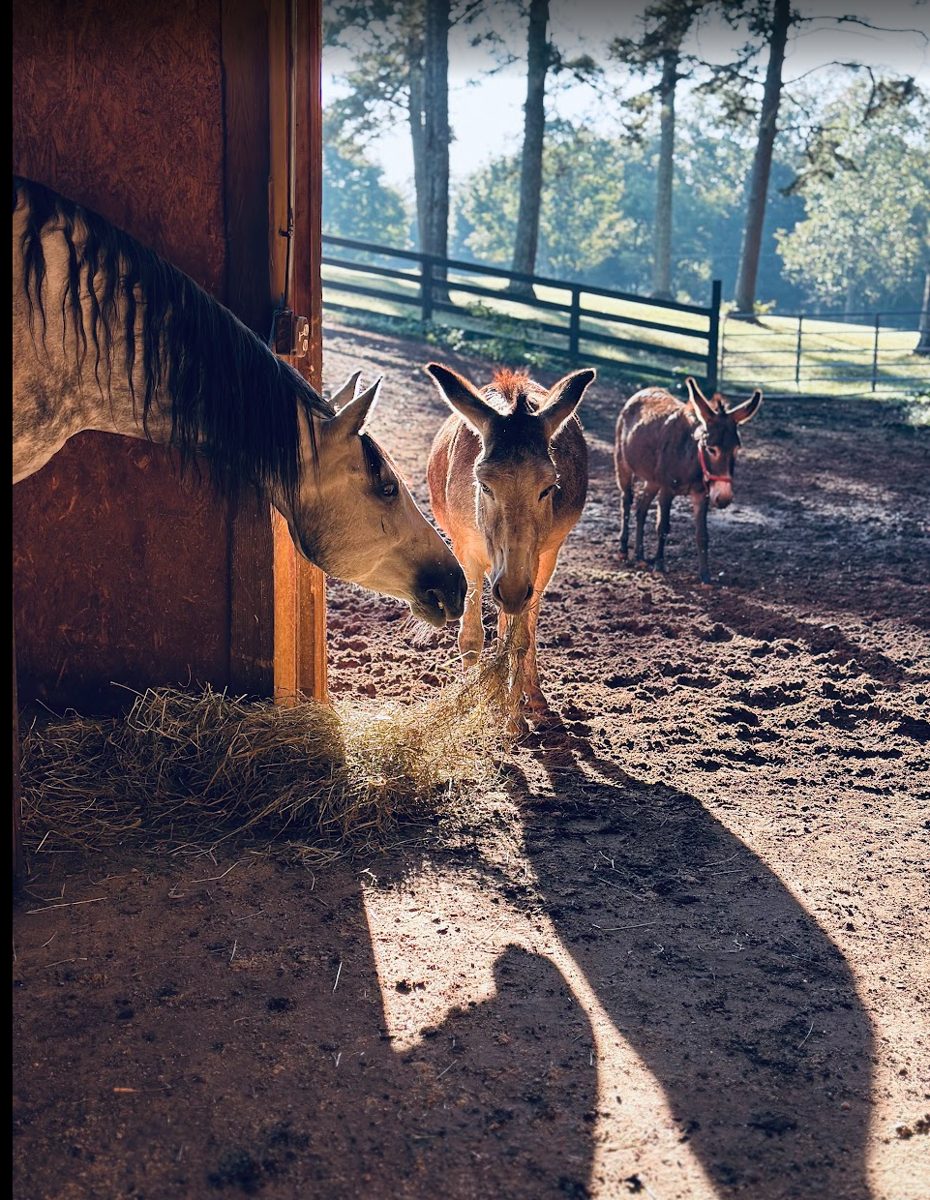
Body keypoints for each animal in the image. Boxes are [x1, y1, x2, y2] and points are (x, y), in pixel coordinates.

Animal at [426, 362, 595, 733]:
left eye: (548, 487)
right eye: (484, 484)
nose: (513, 589)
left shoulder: (540, 558)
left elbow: (519, 639)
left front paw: (515, 718)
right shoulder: (467, 550)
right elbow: (471, 637)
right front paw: (477, 705)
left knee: (522, 627)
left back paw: (533, 697)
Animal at [614, 375, 762, 584]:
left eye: (736, 448)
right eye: (711, 449)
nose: (724, 498)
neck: (691, 458)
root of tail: (643, 390)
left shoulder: (701, 494)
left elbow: (702, 534)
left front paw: (705, 576)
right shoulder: (667, 490)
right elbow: (663, 527)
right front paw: (659, 566)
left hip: (652, 480)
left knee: (641, 508)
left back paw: (640, 556)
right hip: (624, 464)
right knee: (626, 501)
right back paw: (623, 549)